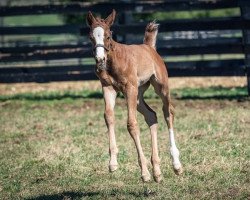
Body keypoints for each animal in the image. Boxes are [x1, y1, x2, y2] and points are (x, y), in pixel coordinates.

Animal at [87, 9, 183, 183]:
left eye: (108, 36)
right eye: (91, 37)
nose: (100, 60)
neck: (114, 59)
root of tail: (149, 46)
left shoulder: (129, 88)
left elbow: (131, 124)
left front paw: (144, 173)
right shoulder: (108, 88)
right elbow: (108, 117)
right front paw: (113, 163)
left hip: (160, 87)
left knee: (168, 113)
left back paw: (176, 165)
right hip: (138, 95)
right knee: (152, 116)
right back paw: (157, 171)